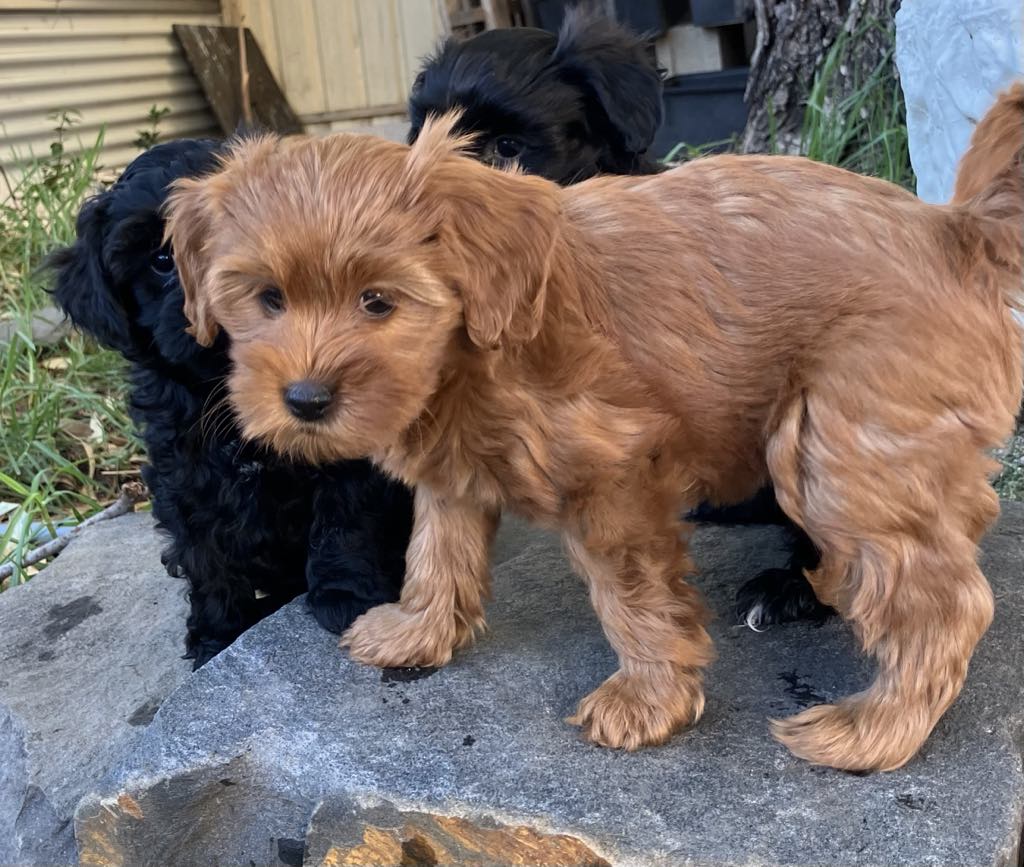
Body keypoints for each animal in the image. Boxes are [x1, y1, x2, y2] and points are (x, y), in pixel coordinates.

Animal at [48, 139, 414, 668]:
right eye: (163, 258)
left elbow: (345, 516)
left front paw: (346, 597)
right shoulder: (185, 472)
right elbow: (205, 555)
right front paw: (216, 636)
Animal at [167, 91, 1023, 770]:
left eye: (378, 301)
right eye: (268, 299)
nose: (305, 399)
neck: (476, 344)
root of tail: (953, 230)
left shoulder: (617, 475)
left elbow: (633, 596)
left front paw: (647, 698)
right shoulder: (452, 466)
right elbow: (437, 550)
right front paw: (418, 630)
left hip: (837, 440)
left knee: (946, 601)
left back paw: (874, 729)